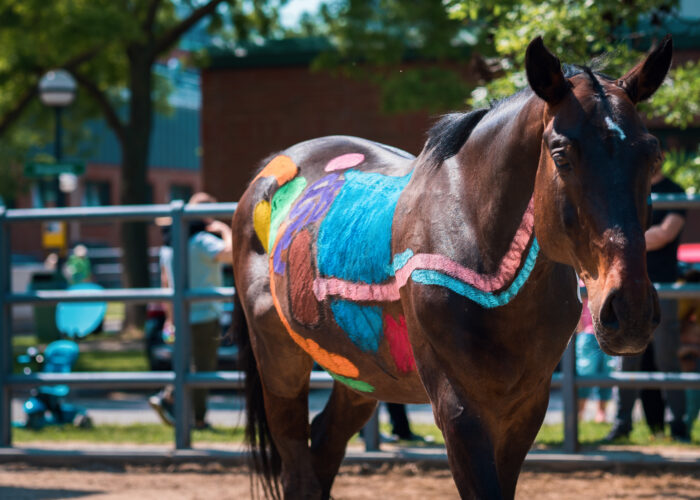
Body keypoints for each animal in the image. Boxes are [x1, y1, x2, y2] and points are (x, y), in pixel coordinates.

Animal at [231, 35, 672, 499]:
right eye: (562, 155)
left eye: (652, 155)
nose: (630, 311)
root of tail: (267, 174)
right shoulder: (459, 408)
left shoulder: (524, 409)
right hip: (280, 365)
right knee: (297, 462)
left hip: (362, 375)